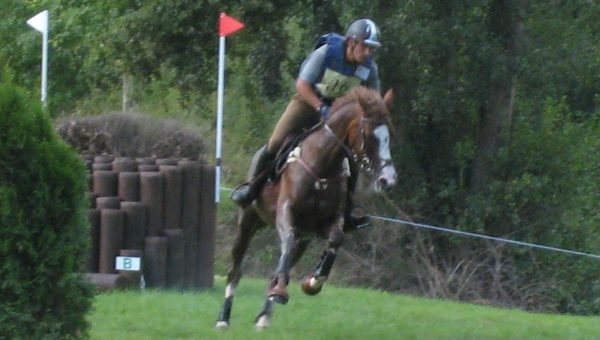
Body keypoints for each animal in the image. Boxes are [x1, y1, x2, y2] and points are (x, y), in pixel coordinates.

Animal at [217, 86, 398, 328]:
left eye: (390, 135)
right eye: (368, 134)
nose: (388, 179)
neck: (322, 167)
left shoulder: (325, 223)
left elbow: (336, 238)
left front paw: (314, 281)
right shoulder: (286, 212)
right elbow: (288, 239)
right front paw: (286, 289)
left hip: (304, 240)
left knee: (277, 270)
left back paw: (264, 316)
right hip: (247, 223)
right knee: (235, 271)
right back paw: (224, 319)